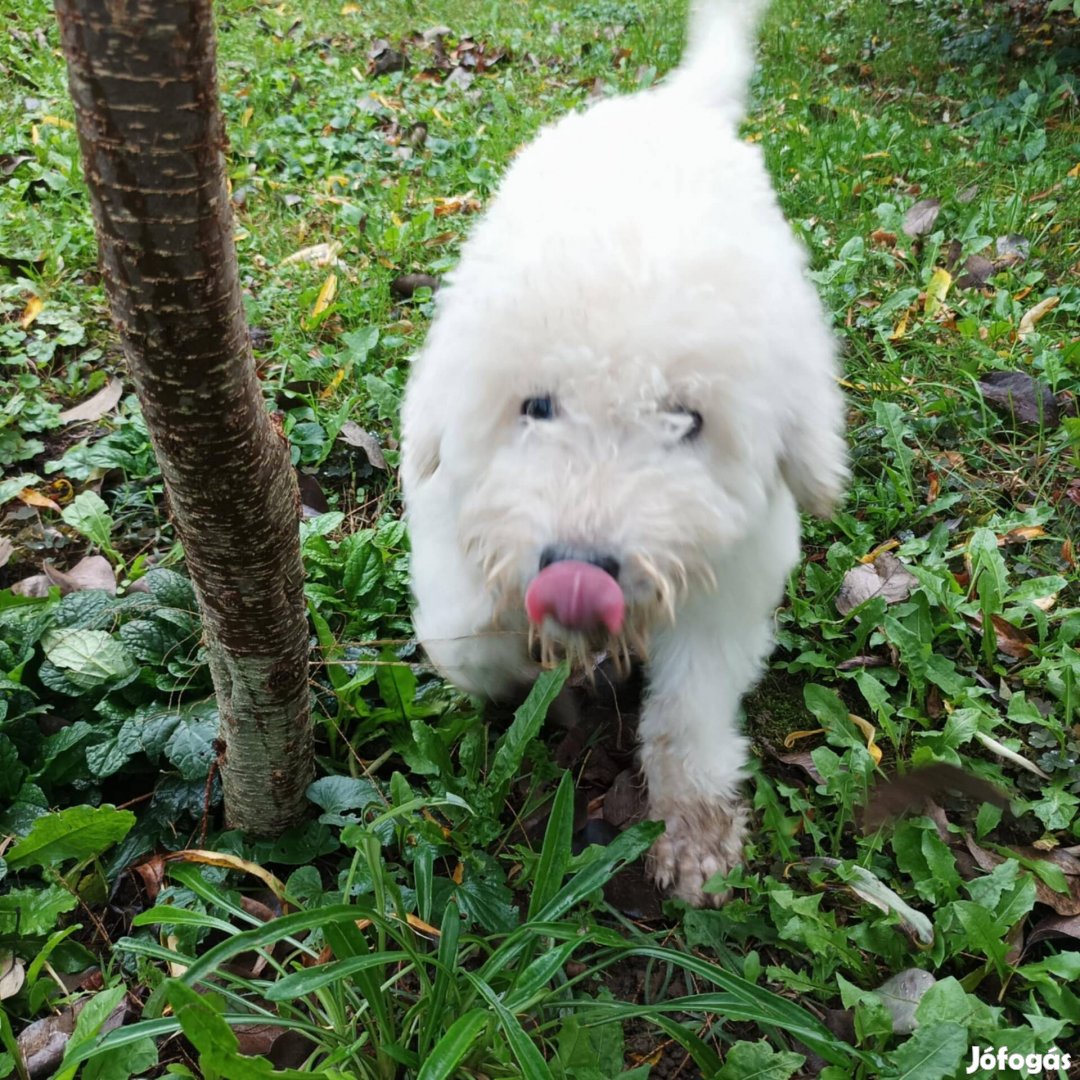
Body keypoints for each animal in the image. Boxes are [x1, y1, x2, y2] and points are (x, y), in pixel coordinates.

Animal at [401, 0, 846, 907]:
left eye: (686, 419)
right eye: (536, 406)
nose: (579, 572)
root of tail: (673, 107)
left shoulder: (729, 572)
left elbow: (691, 705)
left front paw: (694, 835)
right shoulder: (450, 506)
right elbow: (465, 634)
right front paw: (530, 673)